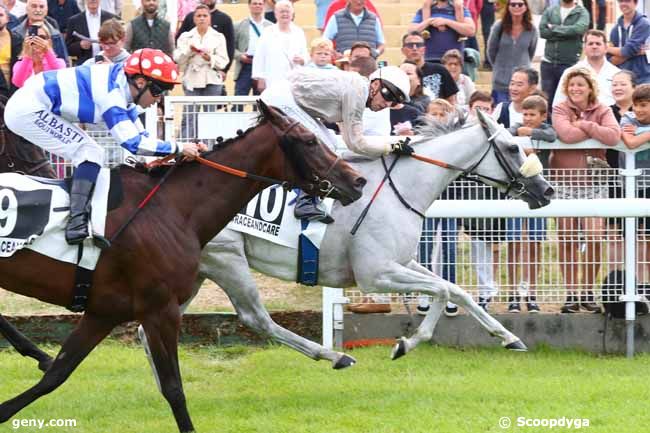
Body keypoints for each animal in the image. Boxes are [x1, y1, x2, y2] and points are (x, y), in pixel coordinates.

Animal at [0, 99, 364, 430]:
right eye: (309, 140)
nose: (357, 180)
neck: (173, 208)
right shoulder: (160, 310)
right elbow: (174, 388)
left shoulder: (104, 312)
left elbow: (57, 374)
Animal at [138, 109, 552, 376]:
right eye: (513, 148)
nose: (546, 190)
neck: (403, 188)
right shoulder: (376, 273)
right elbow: (442, 290)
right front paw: (405, 344)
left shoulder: (401, 261)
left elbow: (455, 290)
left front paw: (509, 337)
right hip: (226, 261)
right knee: (258, 319)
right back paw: (335, 356)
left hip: (192, 274)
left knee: (147, 331)